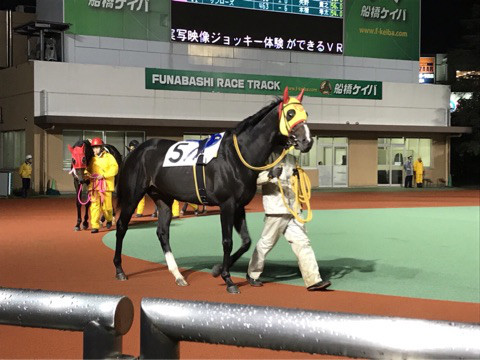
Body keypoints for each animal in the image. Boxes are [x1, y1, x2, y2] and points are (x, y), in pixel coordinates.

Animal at [114, 88, 314, 294]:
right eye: (290, 114)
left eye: (306, 114)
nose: (307, 141)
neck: (237, 156)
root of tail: (136, 151)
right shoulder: (227, 204)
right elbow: (227, 241)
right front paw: (228, 279)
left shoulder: (239, 205)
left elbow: (246, 241)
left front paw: (218, 270)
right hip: (132, 196)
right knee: (121, 227)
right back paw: (120, 270)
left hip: (163, 198)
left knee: (162, 232)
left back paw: (178, 275)